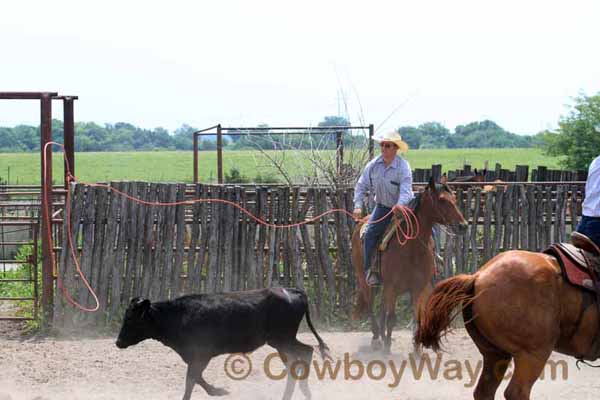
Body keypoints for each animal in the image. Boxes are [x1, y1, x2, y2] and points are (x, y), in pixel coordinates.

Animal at [352, 178, 468, 354]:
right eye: (442, 200)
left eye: (454, 199)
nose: (463, 225)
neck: (412, 248)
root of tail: (362, 222)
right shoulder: (392, 287)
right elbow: (392, 319)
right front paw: (387, 349)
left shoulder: (418, 288)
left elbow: (417, 318)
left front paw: (417, 351)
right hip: (364, 279)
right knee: (371, 306)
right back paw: (377, 339)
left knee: (382, 309)